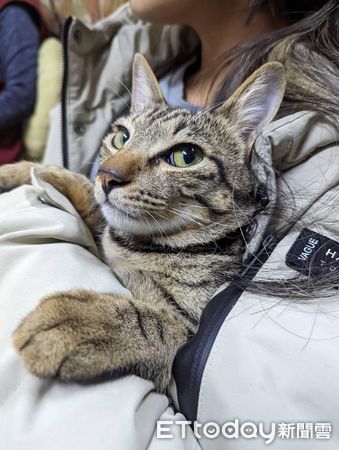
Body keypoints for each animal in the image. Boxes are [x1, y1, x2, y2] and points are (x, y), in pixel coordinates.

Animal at [0, 54, 286, 392]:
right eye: (121, 137)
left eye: (186, 156)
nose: (106, 176)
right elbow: (77, 185)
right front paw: (20, 171)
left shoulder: (190, 337)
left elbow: (153, 323)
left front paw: (77, 322)